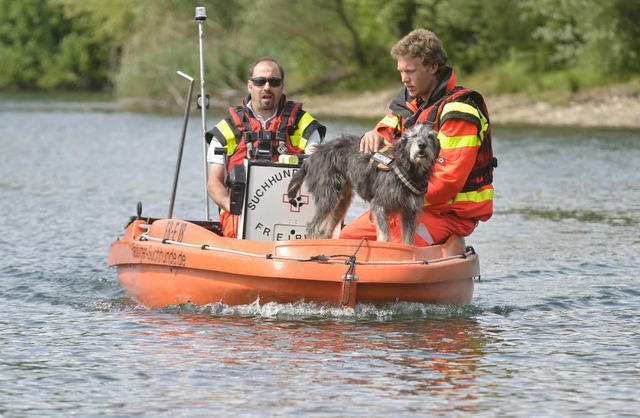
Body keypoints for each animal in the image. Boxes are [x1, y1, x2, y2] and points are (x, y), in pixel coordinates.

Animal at [288, 122, 440, 243]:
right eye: (414, 136)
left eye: (430, 137)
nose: (422, 145)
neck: (406, 166)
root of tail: (313, 156)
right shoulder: (379, 204)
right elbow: (385, 236)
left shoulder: (409, 210)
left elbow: (408, 241)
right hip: (328, 197)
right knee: (312, 226)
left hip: (341, 202)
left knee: (325, 231)